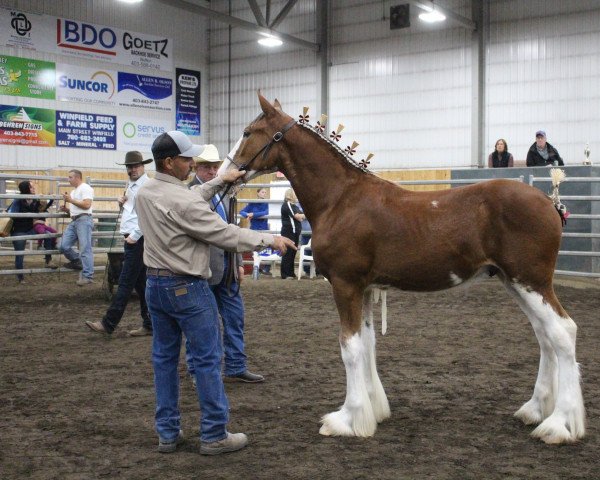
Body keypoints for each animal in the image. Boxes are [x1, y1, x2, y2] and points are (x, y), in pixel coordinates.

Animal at [220, 94, 584, 446]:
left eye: (248, 133)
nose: (226, 174)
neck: (340, 200)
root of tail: (549, 202)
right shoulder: (365, 288)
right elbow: (367, 343)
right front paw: (372, 411)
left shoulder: (345, 284)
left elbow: (349, 347)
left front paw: (347, 419)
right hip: (516, 283)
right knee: (544, 336)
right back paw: (534, 410)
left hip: (531, 282)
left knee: (562, 333)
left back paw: (559, 424)